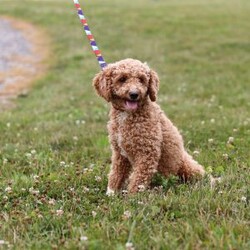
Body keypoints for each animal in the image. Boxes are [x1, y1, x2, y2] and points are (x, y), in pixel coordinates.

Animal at [93, 57, 204, 194]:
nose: (134, 94)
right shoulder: (120, 154)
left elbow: (138, 180)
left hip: (187, 168)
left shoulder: (147, 152)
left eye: (141, 79)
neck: (127, 115)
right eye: (122, 79)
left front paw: (132, 197)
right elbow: (116, 174)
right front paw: (111, 193)